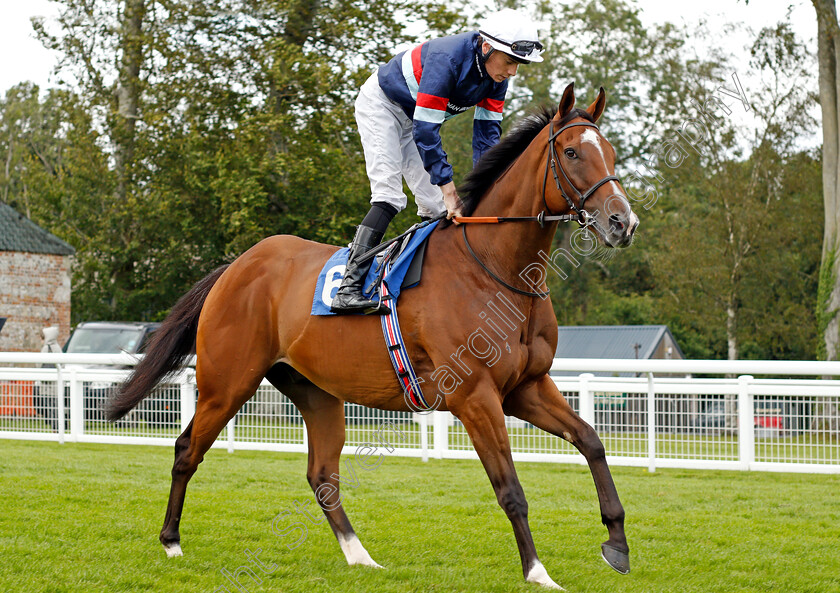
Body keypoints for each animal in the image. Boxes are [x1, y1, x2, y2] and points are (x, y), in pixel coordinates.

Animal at [110, 82, 636, 588]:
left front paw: (617, 544)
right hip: (227, 382)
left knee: (322, 474)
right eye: (572, 152)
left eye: (610, 153)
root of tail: (236, 265)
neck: (496, 268)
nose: (622, 222)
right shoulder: (475, 396)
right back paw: (171, 541)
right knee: (186, 450)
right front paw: (538, 572)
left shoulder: (526, 387)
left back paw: (359, 555)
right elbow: (510, 489)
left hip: (316, 391)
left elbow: (591, 441)